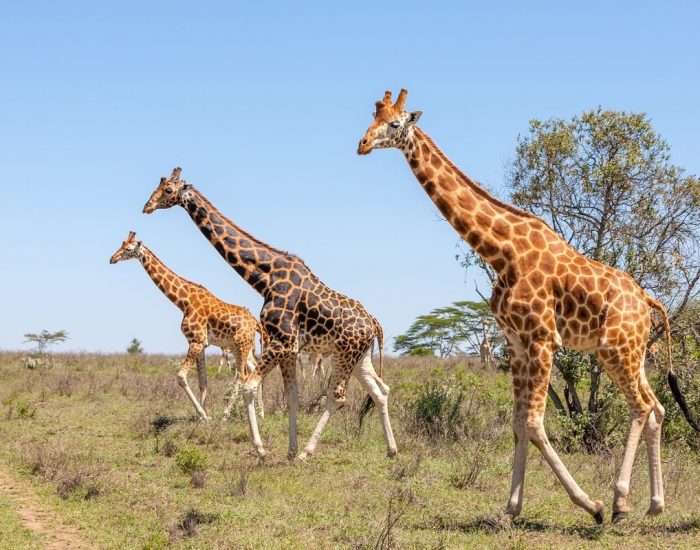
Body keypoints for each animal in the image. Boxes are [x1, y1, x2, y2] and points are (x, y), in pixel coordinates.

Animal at [110, 231, 266, 420]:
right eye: (121, 244)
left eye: (128, 249)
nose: (112, 258)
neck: (184, 302)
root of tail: (255, 322)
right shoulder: (201, 343)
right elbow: (203, 381)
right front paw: (203, 415)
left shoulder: (196, 341)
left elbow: (181, 377)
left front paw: (203, 414)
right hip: (242, 347)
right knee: (253, 369)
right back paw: (261, 413)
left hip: (240, 345)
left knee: (242, 376)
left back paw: (226, 415)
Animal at [142, 168, 396, 461]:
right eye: (159, 185)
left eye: (169, 190)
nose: (147, 206)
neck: (265, 278)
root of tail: (373, 323)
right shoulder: (290, 348)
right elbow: (291, 396)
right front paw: (289, 450)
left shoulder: (282, 342)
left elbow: (249, 387)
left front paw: (262, 449)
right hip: (359, 357)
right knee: (379, 391)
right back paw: (391, 450)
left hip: (345, 354)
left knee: (338, 396)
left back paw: (308, 452)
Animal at [358, 89, 700, 524]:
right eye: (372, 117)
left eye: (395, 123)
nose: (362, 144)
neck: (501, 252)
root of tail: (647, 300)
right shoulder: (516, 344)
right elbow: (519, 425)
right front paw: (509, 510)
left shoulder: (541, 339)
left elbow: (536, 425)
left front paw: (591, 505)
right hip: (632, 352)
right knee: (656, 407)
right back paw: (654, 504)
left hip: (615, 351)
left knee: (640, 407)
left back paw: (620, 501)